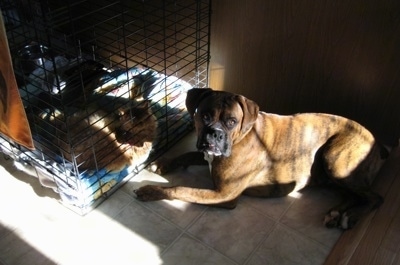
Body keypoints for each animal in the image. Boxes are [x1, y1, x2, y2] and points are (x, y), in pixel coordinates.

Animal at [134, 87, 388, 228]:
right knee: (355, 194)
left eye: (231, 121)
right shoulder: (206, 154)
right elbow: (187, 155)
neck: (242, 136)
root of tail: (376, 141)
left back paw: (350, 217)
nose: (214, 134)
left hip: (334, 160)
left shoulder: (224, 195)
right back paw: (337, 213)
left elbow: (181, 189)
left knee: (375, 198)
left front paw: (151, 191)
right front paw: (162, 164)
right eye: (204, 116)